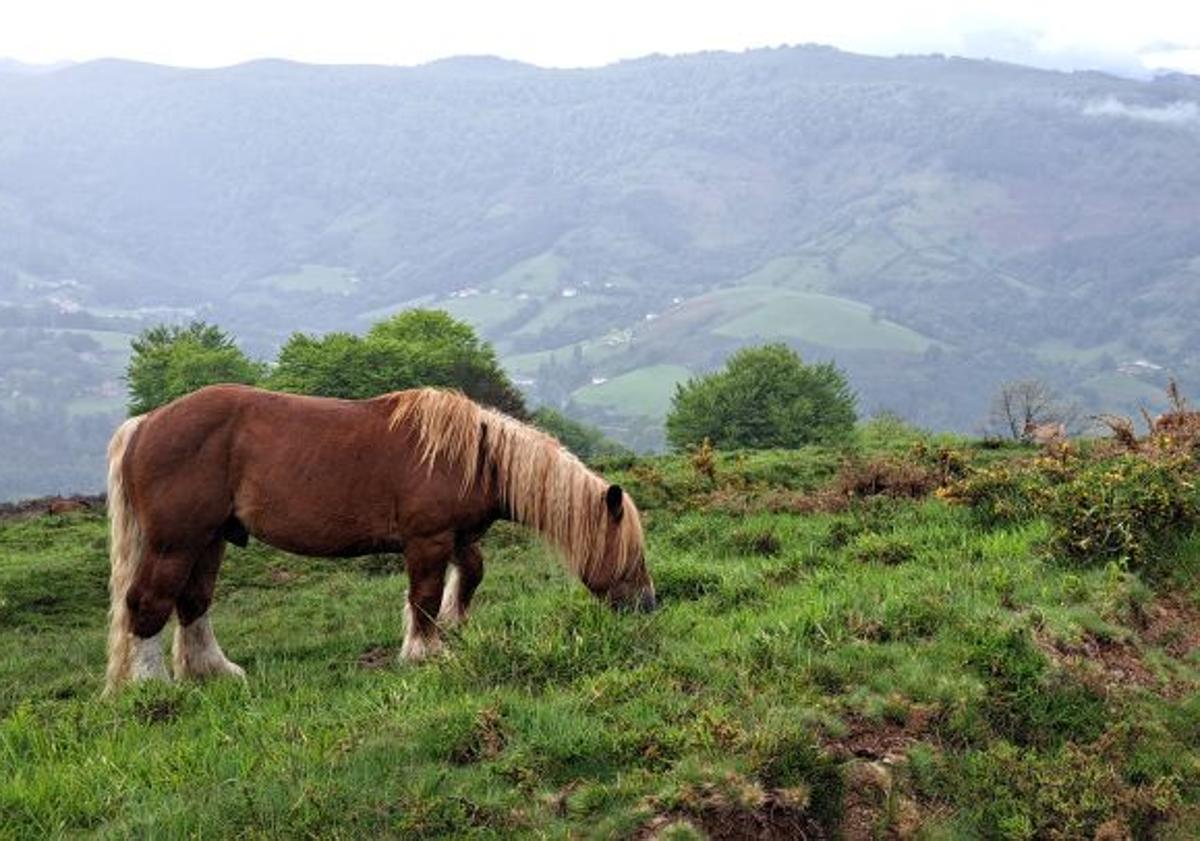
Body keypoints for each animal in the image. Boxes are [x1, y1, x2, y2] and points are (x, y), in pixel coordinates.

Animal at [100, 383, 657, 691]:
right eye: (630, 552)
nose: (648, 606)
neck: (473, 455)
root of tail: (145, 423)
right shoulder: (427, 540)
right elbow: (424, 595)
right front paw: (424, 652)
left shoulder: (456, 538)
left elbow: (470, 574)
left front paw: (453, 627)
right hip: (175, 542)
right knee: (148, 603)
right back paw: (153, 687)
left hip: (209, 540)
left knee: (193, 603)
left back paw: (213, 673)